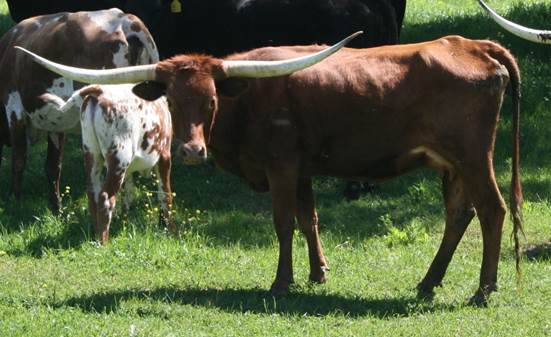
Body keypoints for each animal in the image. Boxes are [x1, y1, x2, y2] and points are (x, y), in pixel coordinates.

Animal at [0, 8, 158, 210]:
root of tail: (127, 20)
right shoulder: (55, 123)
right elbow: (53, 165)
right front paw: (56, 206)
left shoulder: (14, 109)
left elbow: (19, 159)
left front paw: (13, 199)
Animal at [55, 83, 172, 242]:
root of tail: (100, 91)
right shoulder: (165, 155)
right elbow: (165, 194)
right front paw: (171, 230)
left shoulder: (129, 169)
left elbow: (128, 193)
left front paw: (125, 219)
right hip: (119, 158)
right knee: (106, 197)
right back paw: (103, 241)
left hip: (92, 153)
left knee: (93, 194)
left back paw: (95, 234)